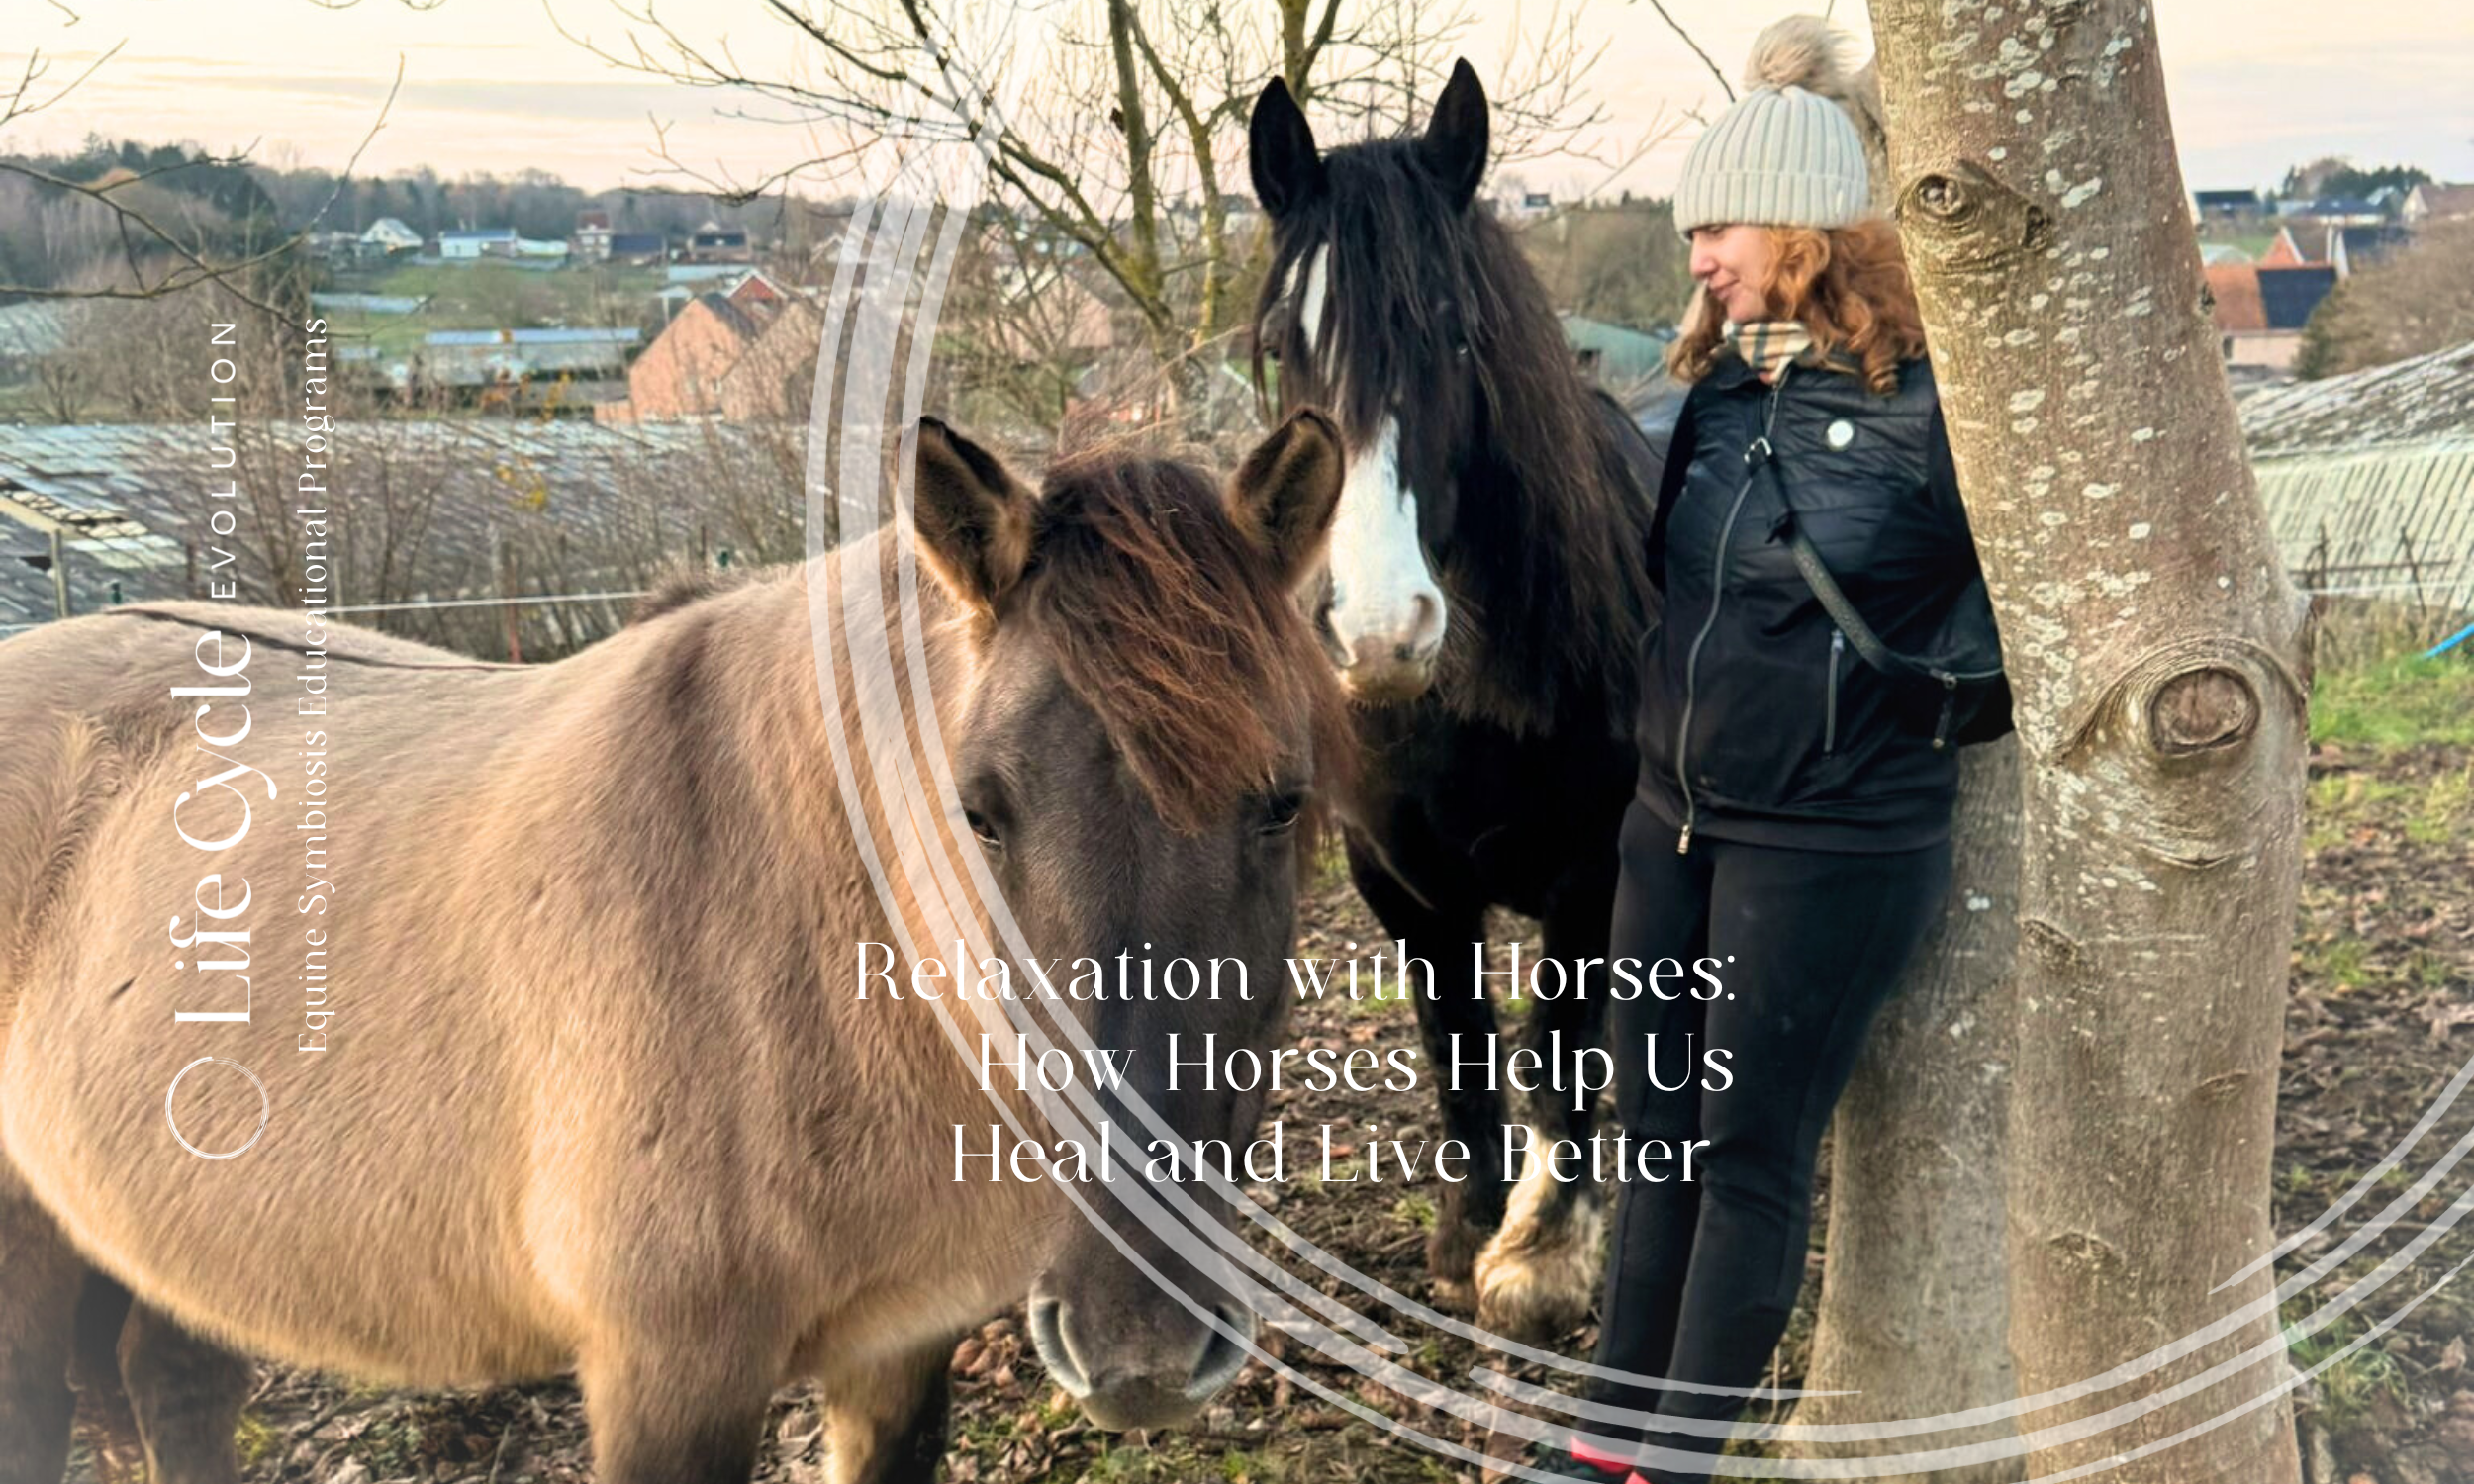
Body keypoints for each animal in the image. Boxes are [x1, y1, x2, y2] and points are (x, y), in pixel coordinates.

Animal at [0, 412, 1352, 1484]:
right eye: (978, 811)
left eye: (1283, 801)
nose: (1141, 1346)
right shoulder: (667, 1375)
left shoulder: (896, 1350)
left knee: (174, 1386)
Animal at [1245, 63, 1668, 1341]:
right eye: (1280, 343)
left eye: (1456, 330)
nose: (1380, 634)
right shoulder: (1407, 886)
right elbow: (1460, 1044)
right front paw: (1467, 1223)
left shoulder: (1593, 878)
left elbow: (1560, 1052)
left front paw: (1541, 1253)